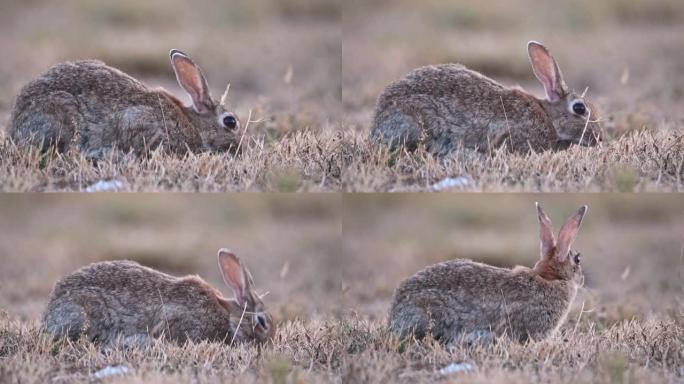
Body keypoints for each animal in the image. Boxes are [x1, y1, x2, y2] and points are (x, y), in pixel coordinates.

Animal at [7, 49, 240, 159]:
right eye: (230, 122)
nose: (240, 148)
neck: (194, 126)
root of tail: (14, 127)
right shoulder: (139, 122)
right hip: (61, 115)